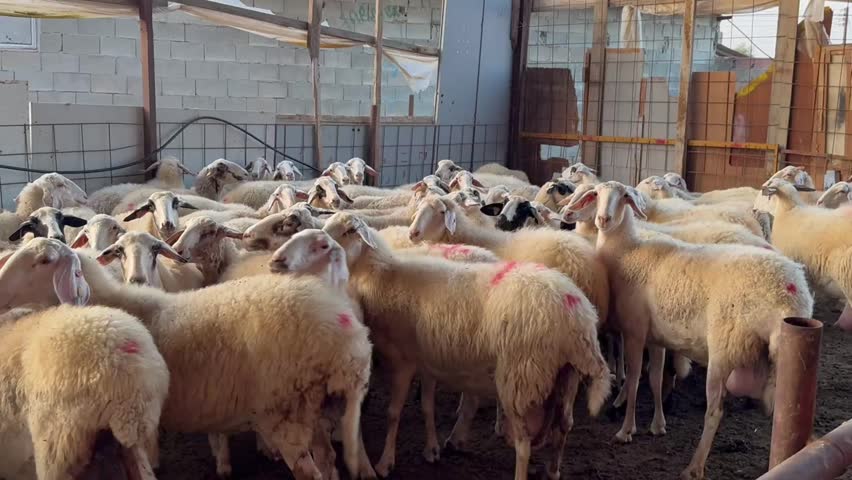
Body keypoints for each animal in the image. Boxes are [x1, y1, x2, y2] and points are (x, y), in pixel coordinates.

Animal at [296, 212, 610, 480]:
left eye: (348, 231)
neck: (383, 273)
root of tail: (578, 316)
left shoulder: (403, 360)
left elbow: (394, 413)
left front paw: (385, 463)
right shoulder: (427, 357)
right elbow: (427, 406)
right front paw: (431, 449)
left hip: (521, 378)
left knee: (524, 444)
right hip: (566, 376)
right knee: (564, 424)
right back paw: (553, 470)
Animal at [566, 181, 813, 479]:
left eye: (624, 196)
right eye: (596, 195)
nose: (604, 219)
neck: (626, 250)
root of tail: (792, 292)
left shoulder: (635, 331)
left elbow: (634, 379)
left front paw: (626, 429)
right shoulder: (656, 336)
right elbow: (655, 378)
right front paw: (657, 425)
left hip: (724, 351)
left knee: (715, 411)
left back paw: (694, 467)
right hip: (781, 356)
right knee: (787, 406)